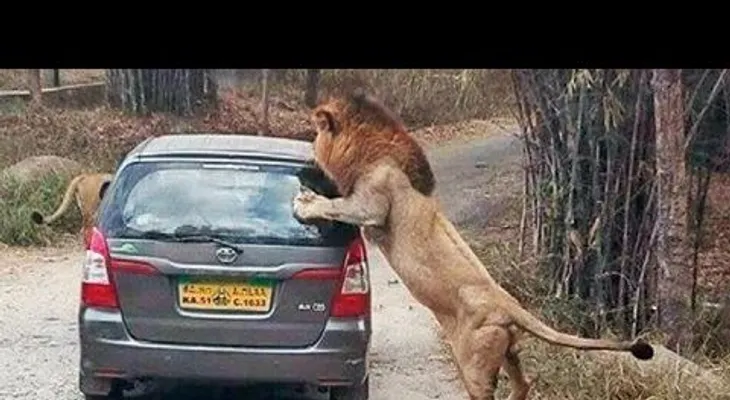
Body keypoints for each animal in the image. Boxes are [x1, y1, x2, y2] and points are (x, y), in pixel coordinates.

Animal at [291, 90, 655, 400]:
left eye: (316, 137)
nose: (306, 162)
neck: (368, 151)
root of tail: (508, 303)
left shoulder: (372, 203)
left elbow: (337, 205)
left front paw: (306, 203)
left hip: (475, 364)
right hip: (508, 349)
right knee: (524, 383)